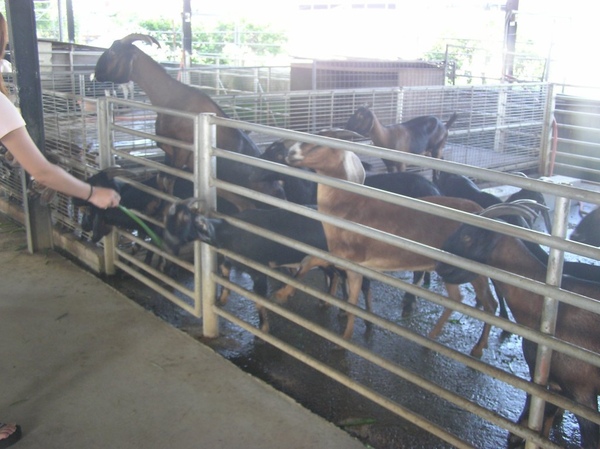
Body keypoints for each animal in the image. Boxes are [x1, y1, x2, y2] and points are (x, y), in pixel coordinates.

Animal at [94, 33, 286, 210]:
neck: (170, 98)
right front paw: (156, 206)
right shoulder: (169, 149)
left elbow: (169, 180)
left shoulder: (183, 150)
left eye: (113, 52)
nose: (96, 73)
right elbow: (161, 179)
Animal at [284, 133, 500, 356]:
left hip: (469, 269)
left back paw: (473, 347)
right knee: (467, 300)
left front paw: (343, 339)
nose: (290, 154)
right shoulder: (347, 262)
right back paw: (438, 340)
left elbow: (340, 288)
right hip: (453, 270)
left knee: (485, 304)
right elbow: (331, 280)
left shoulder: (351, 259)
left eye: (320, 143)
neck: (347, 207)